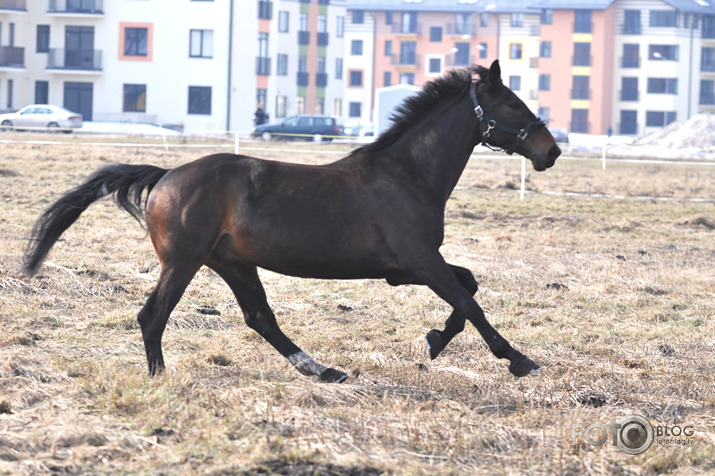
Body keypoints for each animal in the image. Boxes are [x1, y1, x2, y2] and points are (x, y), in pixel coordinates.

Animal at [23, 62, 560, 384]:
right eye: (513, 103)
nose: (551, 151)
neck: (407, 175)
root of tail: (166, 176)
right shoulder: (419, 261)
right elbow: (469, 300)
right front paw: (518, 359)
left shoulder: (405, 267)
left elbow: (468, 285)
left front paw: (434, 340)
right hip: (185, 261)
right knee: (153, 315)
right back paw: (160, 377)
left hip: (233, 264)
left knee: (260, 317)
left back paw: (323, 370)